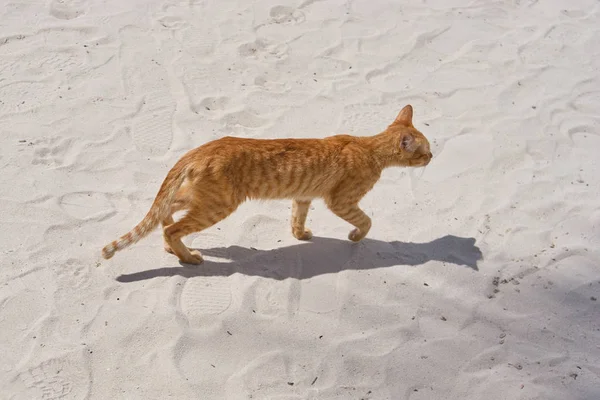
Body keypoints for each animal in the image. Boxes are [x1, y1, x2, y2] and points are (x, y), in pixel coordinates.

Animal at [102, 104, 432, 264]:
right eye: (425, 150)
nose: (432, 157)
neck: (369, 147)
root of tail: (203, 148)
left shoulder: (303, 197)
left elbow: (297, 218)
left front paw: (300, 235)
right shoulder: (342, 201)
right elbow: (366, 222)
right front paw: (354, 237)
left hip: (200, 198)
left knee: (164, 212)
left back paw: (173, 249)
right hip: (217, 205)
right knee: (171, 227)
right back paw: (187, 257)